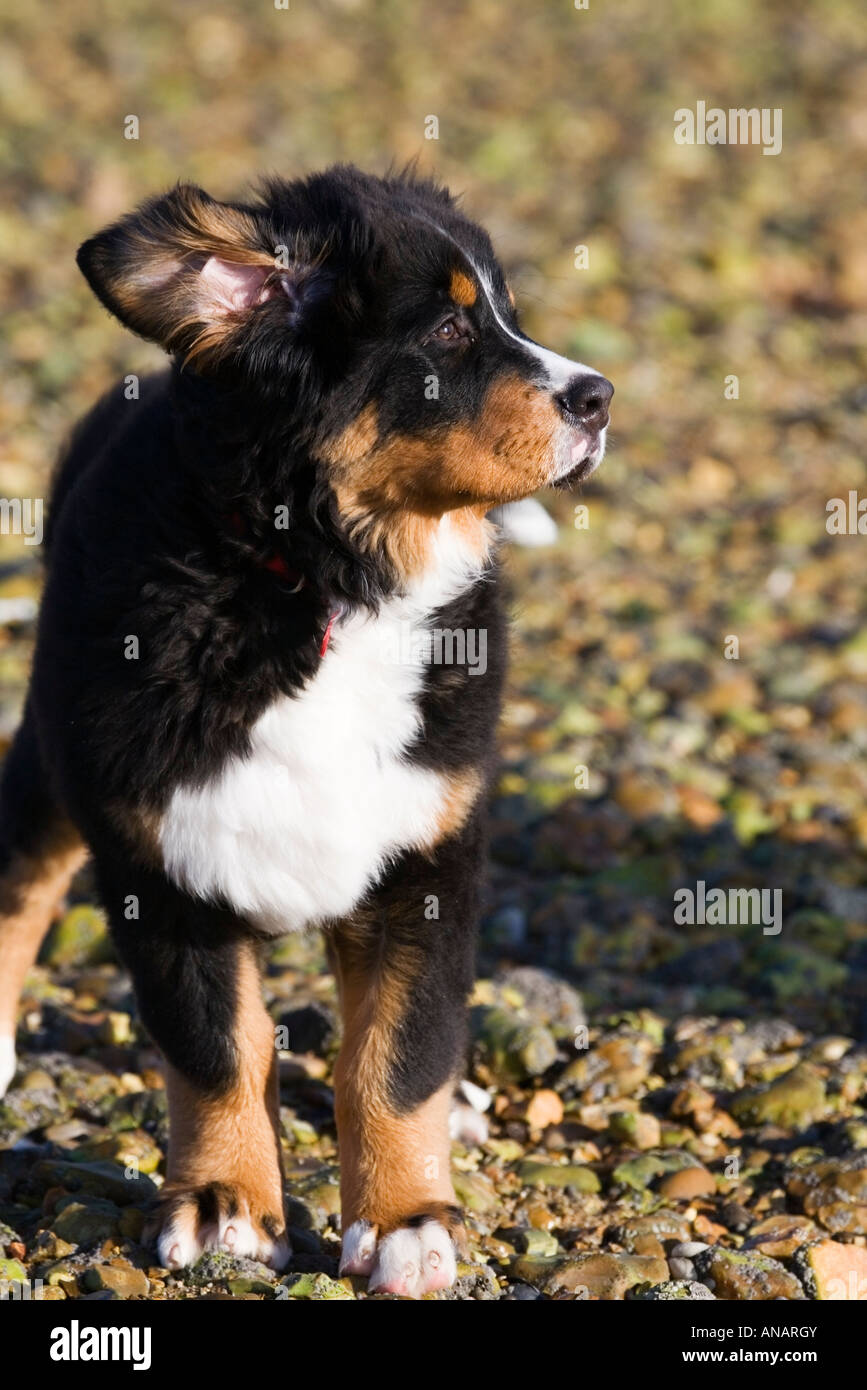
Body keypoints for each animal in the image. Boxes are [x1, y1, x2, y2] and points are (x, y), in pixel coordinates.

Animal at [0, 168, 608, 1295]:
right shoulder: (161, 850)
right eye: (449, 331)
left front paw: (409, 1218)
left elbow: (397, 1055)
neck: (325, 586)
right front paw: (226, 1205)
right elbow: (216, 1047)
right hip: (55, 753)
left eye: (504, 311)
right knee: (22, 874)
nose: (599, 398)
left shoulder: (425, 850)